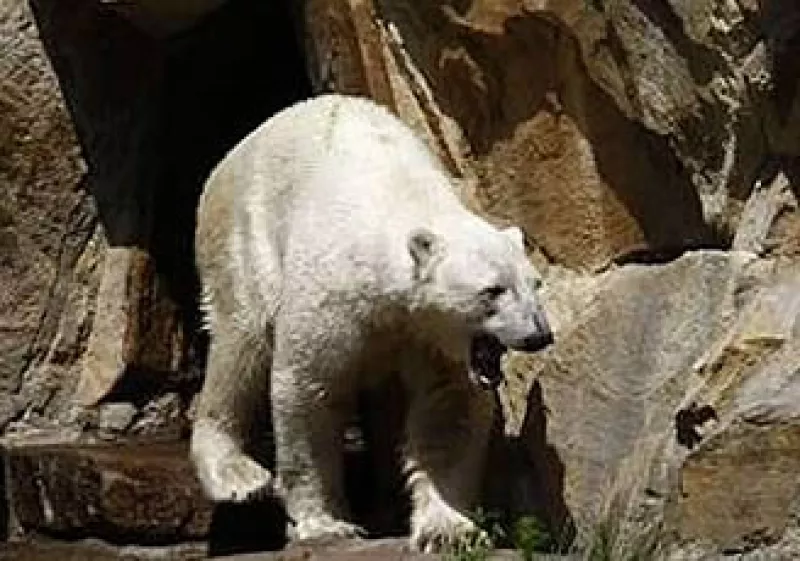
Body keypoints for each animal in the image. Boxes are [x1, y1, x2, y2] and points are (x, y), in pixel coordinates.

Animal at [189, 94, 554, 552]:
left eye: (535, 284)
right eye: (492, 290)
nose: (540, 335)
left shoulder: (428, 338)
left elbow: (447, 408)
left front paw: (450, 529)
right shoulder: (333, 297)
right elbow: (309, 390)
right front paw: (328, 523)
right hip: (244, 235)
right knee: (241, 341)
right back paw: (238, 476)